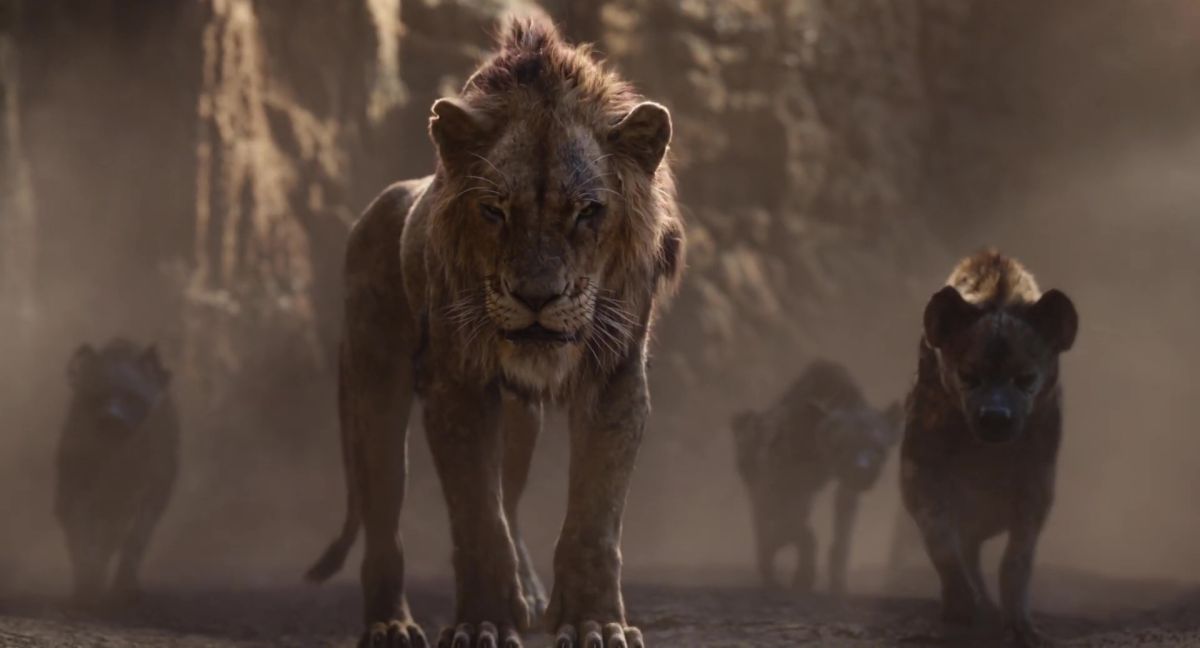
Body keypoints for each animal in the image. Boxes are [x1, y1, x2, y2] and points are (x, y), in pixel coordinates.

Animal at [306, 12, 684, 648]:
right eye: (494, 211)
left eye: (587, 212)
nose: (536, 297)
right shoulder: (456, 384)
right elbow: (478, 518)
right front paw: (483, 620)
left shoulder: (616, 378)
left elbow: (593, 518)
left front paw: (593, 622)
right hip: (375, 389)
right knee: (385, 520)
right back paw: (389, 623)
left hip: (519, 421)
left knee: (509, 494)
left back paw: (527, 594)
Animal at [901, 250, 1077, 647]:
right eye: (969, 376)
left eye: (1025, 378)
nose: (996, 417)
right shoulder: (921, 467)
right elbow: (940, 537)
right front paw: (961, 606)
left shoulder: (1036, 479)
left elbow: (1017, 558)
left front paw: (1020, 625)